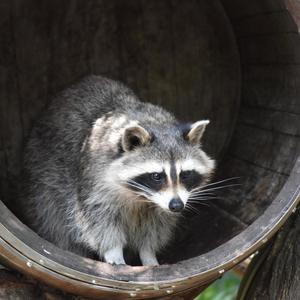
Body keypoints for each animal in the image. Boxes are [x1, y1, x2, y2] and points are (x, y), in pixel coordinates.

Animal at [20, 75, 213, 264]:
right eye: (157, 176)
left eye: (185, 174)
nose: (176, 205)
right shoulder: (94, 178)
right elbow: (98, 219)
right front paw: (113, 252)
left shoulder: (161, 204)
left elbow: (156, 224)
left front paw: (148, 254)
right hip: (43, 176)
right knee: (53, 219)